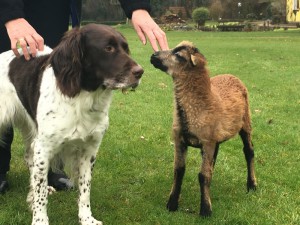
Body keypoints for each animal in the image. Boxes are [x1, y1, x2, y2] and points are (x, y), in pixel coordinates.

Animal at [0, 23, 144, 224]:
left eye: (125, 48)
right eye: (108, 48)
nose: (140, 72)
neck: (83, 97)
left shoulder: (88, 150)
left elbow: (85, 189)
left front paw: (86, 218)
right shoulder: (44, 147)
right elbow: (40, 192)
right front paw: (40, 220)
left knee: (29, 157)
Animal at [151, 41, 256, 217]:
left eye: (179, 55)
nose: (153, 55)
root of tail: (232, 75)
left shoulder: (207, 142)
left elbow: (202, 175)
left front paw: (206, 210)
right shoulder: (180, 140)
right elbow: (179, 170)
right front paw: (172, 204)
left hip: (246, 122)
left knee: (249, 152)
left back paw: (252, 185)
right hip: (216, 137)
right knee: (214, 159)